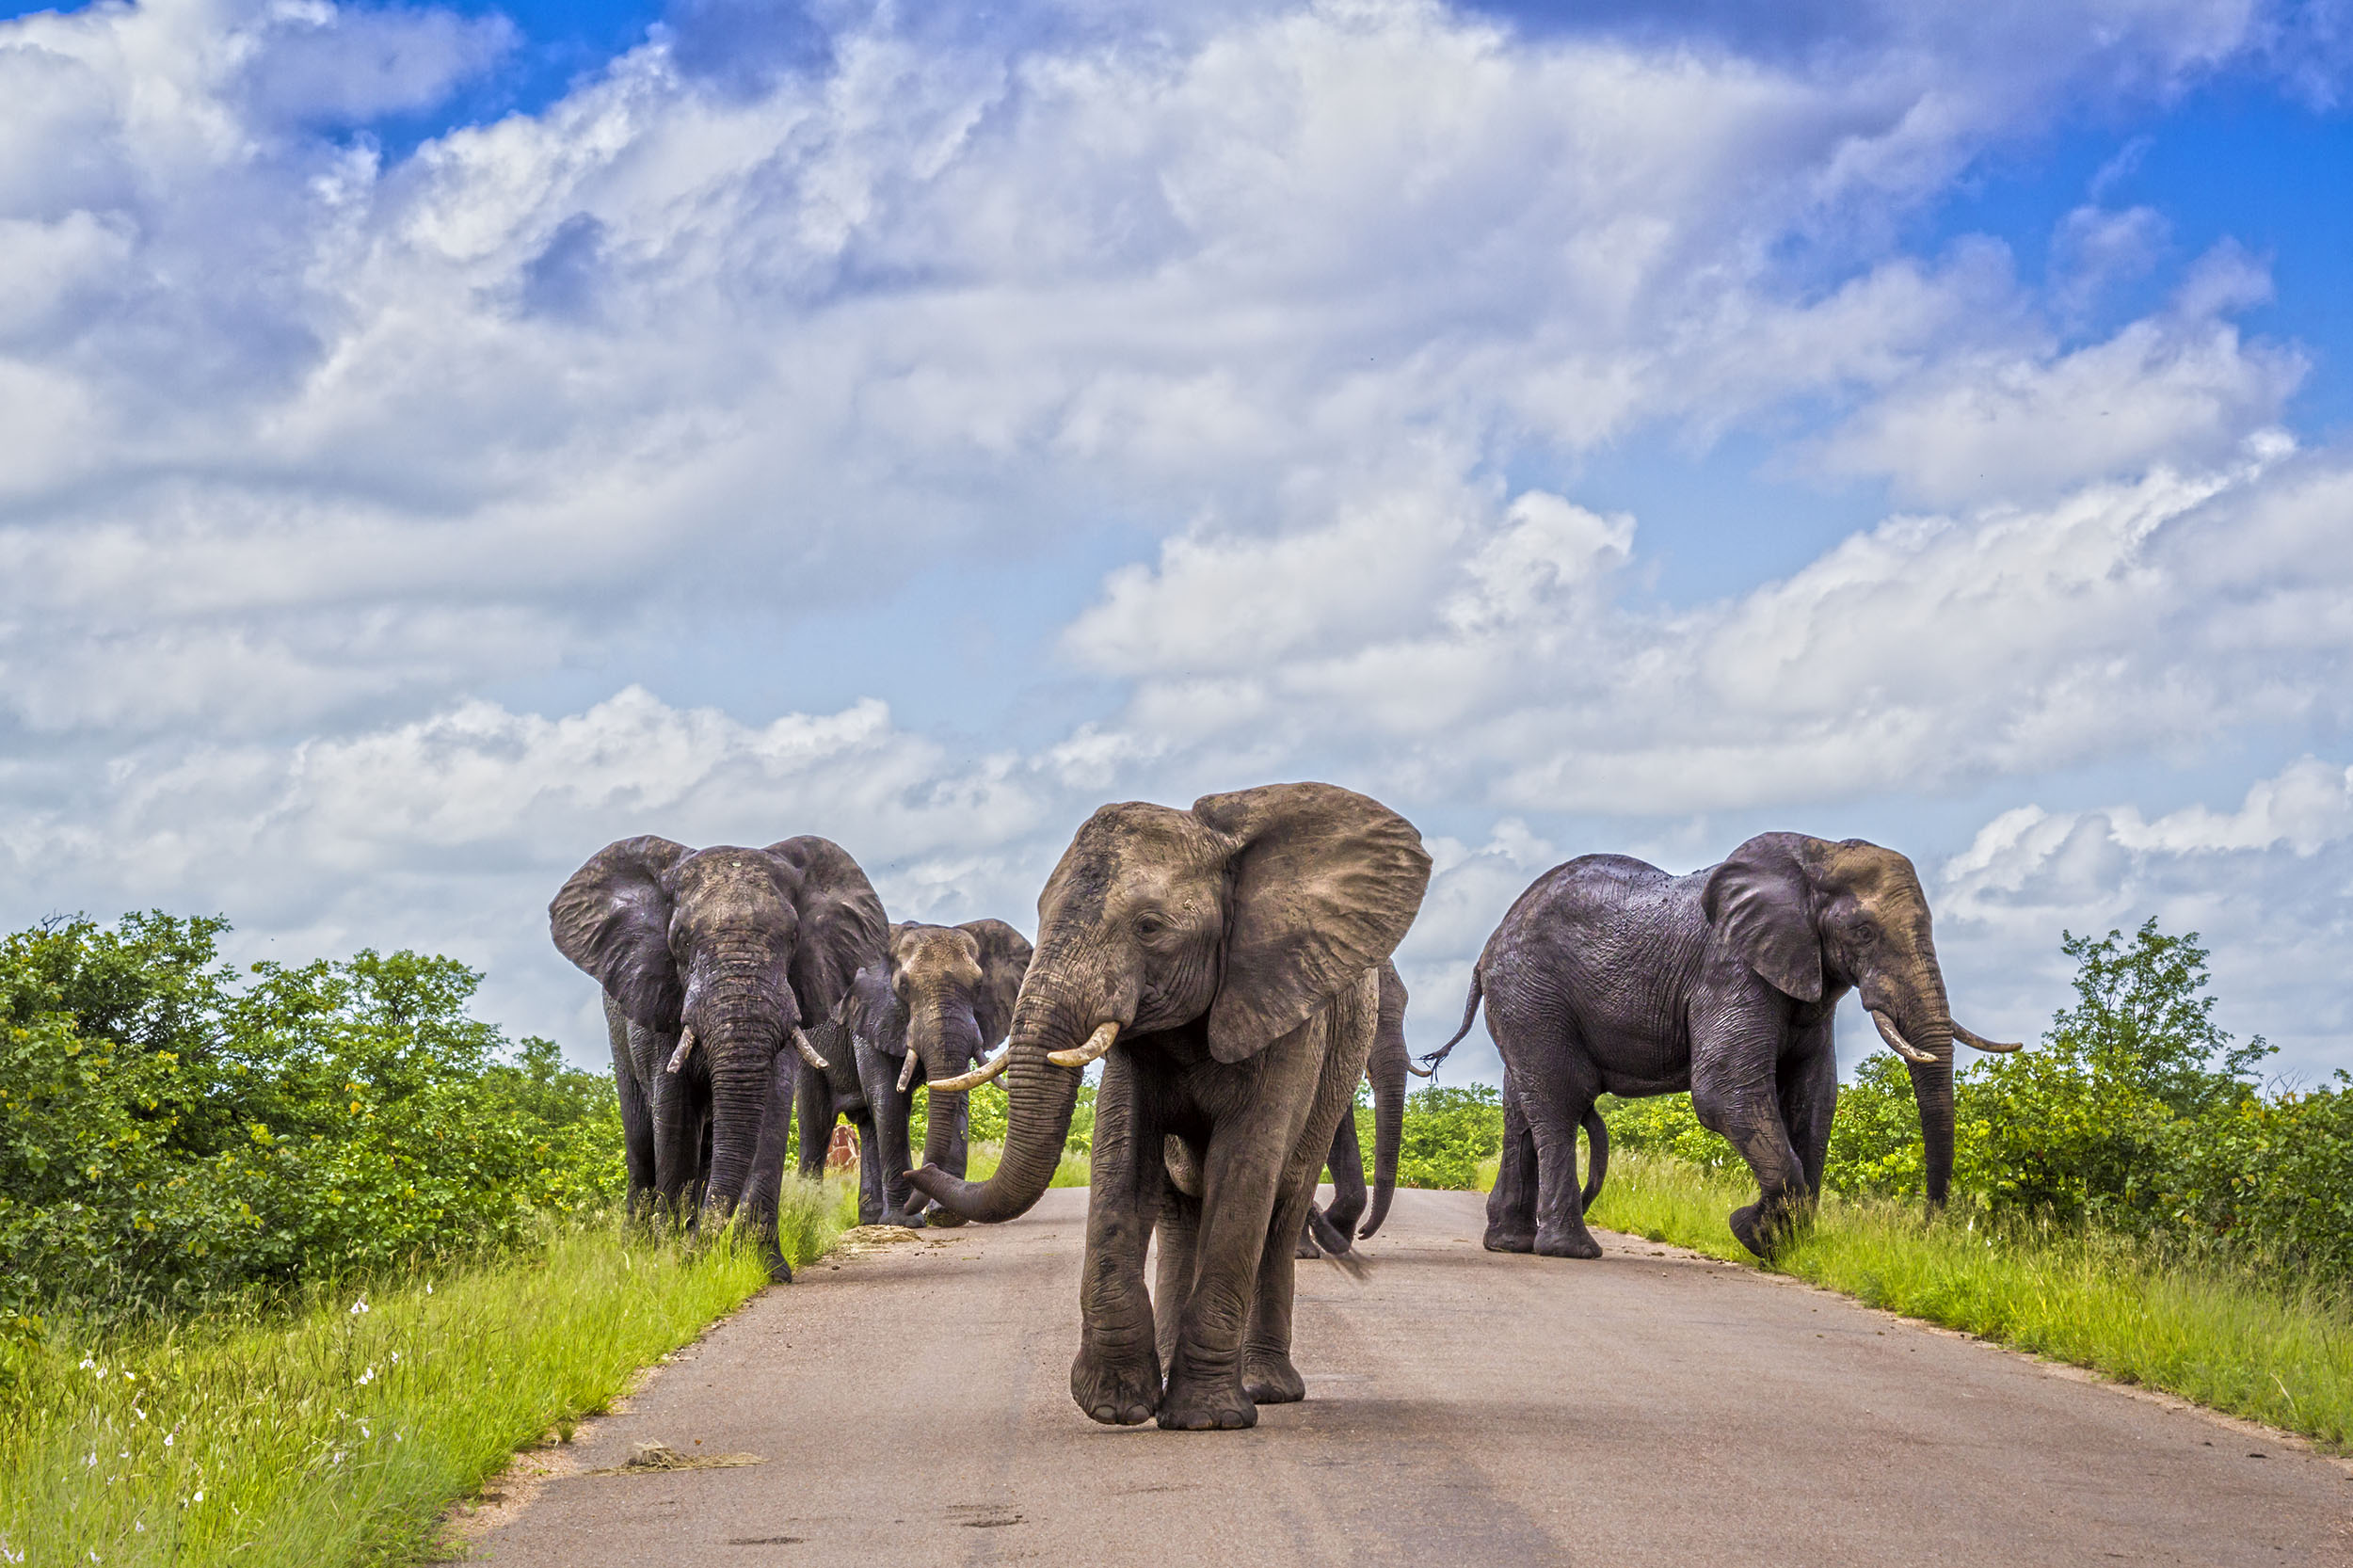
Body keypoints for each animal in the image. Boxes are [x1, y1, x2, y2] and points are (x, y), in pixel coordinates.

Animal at [548, 828, 885, 1271]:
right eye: (681, 940)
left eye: (793, 938)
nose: (696, 1253)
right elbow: (672, 1112)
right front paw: (671, 1261)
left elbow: (772, 1108)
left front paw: (765, 1266)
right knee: (641, 1139)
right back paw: (638, 1245)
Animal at [800, 908, 1031, 1224]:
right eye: (904, 987)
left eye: (978, 986)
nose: (923, 1172)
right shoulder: (872, 1014)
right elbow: (889, 1097)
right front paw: (904, 1221)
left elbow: (956, 1090)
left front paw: (945, 1217)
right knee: (816, 1124)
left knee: (868, 1125)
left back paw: (872, 1219)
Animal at [1412, 828, 2024, 1261]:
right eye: (1864, 933)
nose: (1930, 1227)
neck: (1816, 854)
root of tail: (1486, 949)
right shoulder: (1732, 970)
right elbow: (1725, 1092)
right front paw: (1752, 1233)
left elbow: (1813, 1099)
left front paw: (1779, 1246)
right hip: (1533, 996)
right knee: (1561, 1101)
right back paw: (1572, 1251)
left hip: (1524, 1006)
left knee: (1523, 1106)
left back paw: (1510, 1244)